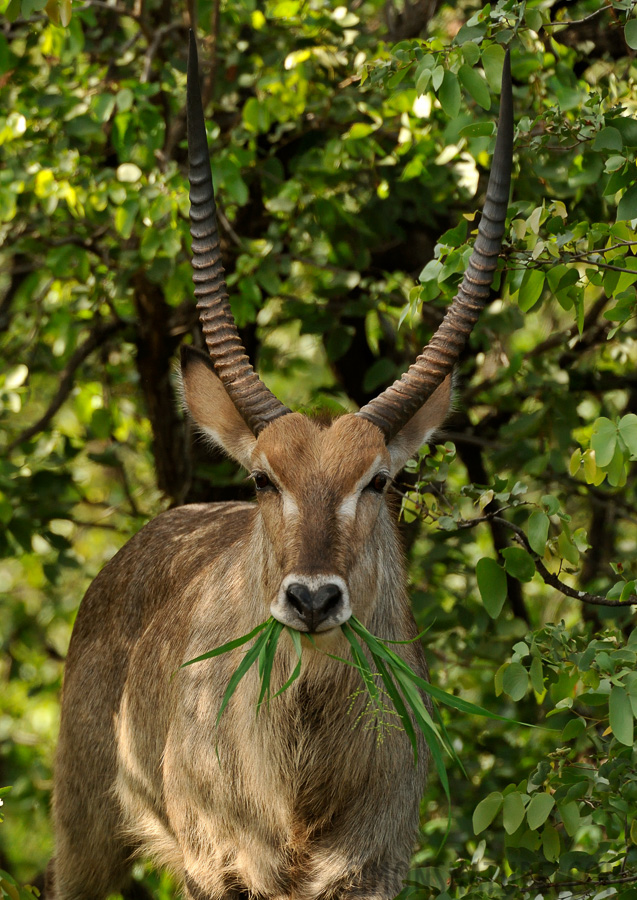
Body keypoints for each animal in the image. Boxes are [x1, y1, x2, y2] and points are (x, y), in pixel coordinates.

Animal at [46, 33, 512, 900]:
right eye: (265, 478)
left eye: (378, 480)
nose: (312, 599)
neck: (301, 780)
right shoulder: (219, 865)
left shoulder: (374, 868)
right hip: (86, 833)